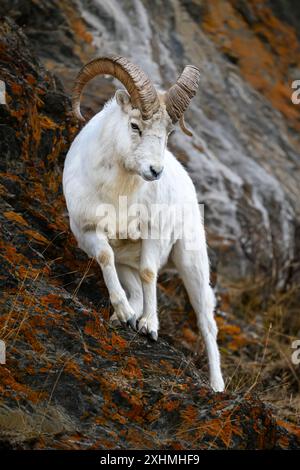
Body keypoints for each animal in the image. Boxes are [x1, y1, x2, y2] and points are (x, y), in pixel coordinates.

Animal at [62, 56, 224, 392]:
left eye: (169, 133)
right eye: (135, 125)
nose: (155, 171)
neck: (118, 195)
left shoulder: (153, 234)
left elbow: (150, 273)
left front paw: (149, 327)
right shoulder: (89, 233)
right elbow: (105, 258)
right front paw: (123, 314)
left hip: (191, 261)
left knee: (206, 322)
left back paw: (217, 386)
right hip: (128, 265)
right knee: (135, 290)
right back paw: (124, 316)